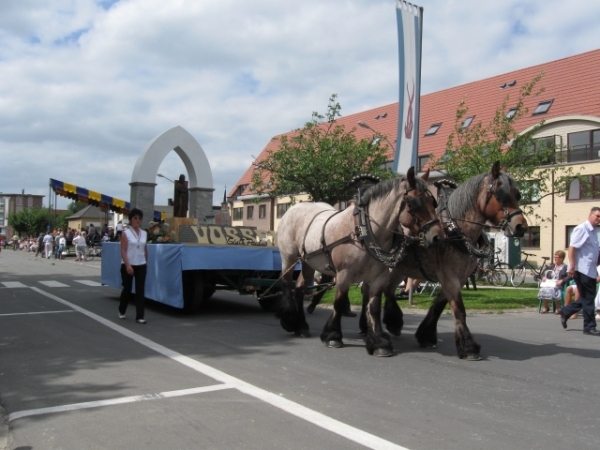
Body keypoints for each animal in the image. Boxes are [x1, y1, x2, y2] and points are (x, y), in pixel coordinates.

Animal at [278, 167, 446, 346]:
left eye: (433, 202)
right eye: (414, 203)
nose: (437, 237)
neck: (363, 231)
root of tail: (292, 209)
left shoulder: (378, 276)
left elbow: (373, 304)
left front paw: (376, 335)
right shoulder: (344, 274)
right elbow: (339, 301)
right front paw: (333, 335)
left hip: (309, 261)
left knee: (300, 287)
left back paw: (301, 326)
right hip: (289, 257)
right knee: (286, 282)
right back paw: (288, 319)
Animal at [358, 162, 528, 358]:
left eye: (517, 194)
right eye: (500, 194)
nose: (521, 227)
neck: (455, 231)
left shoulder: (458, 278)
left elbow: (439, 305)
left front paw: (426, 335)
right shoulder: (449, 277)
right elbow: (459, 310)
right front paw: (468, 347)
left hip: (400, 269)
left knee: (388, 289)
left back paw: (393, 322)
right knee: (369, 290)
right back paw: (368, 326)